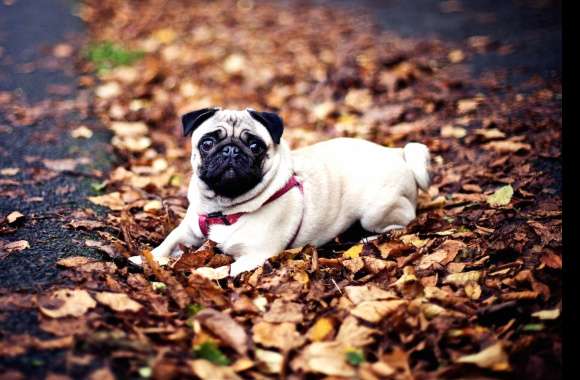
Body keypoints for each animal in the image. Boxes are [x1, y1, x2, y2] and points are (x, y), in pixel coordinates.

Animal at [131, 107, 430, 276]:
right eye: (207, 143)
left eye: (255, 146)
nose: (231, 150)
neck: (224, 208)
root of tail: (398, 153)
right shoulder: (188, 230)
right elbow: (167, 242)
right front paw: (143, 258)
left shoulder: (255, 256)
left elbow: (219, 269)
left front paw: (198, 272)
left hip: (377, 211)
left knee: (402, 223)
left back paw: (369, 238)